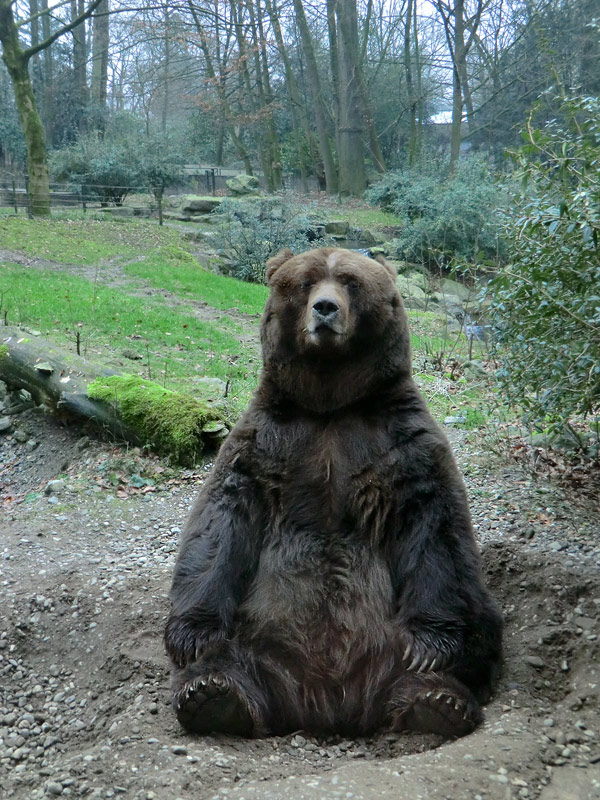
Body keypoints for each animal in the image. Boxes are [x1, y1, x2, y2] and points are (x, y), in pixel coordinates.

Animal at [164, 248, 502, 736]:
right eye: (305, 283)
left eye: (351, 282)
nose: (325, 309)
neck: (330, 404)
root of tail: (328, 701)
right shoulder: (268, 441)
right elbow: (221, 520)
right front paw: (191, 636)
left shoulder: (400, 440)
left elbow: (433, 523)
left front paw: (431, 646)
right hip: (261, 629)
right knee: (235, 656)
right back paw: (213, 695)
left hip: (396, 635)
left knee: (478, 630)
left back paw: (437, 701)